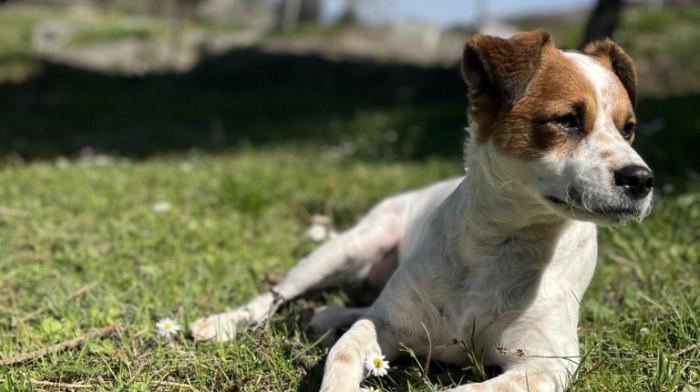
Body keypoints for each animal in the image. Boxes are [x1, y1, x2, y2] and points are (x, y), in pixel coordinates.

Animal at [189, 31, 652, 392]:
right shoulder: (386, 326)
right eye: (567, 120)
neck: (498, 244)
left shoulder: (543, 365)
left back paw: (324, 314)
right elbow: (343, 354)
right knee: (276, 296)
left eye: (628, 129)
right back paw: (221, 323)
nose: (642, 179)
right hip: (344, 249)